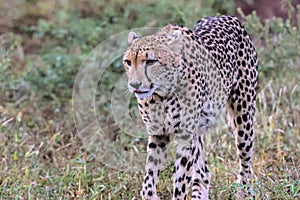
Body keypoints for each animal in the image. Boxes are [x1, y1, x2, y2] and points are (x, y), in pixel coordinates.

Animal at [122, 15, 258, 200]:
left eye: (150, 61)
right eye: (128, 62)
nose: (135, 85)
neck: (162, 94)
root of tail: (226, 16)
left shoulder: (186, 136)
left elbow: (180, 181)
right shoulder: (158, 134)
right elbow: (148, 182)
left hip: (243, 117)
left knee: (245, 160)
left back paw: (244, 190)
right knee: (204, 171)